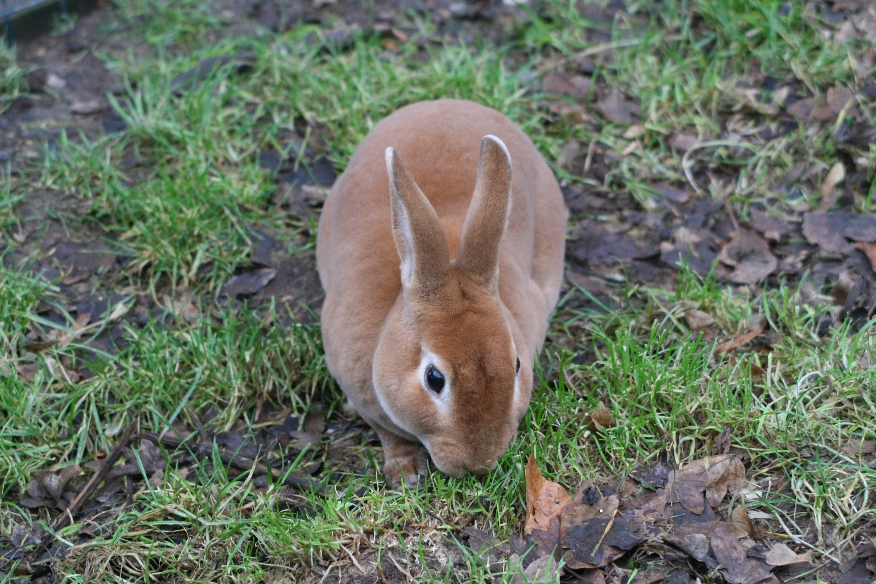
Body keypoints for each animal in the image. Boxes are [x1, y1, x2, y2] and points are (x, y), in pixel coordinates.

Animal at [316, 99, 567, 487]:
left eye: (517, 365)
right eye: (434, 379)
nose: (479, 463)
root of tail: (446, 104)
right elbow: (386, 433)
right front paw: (406, 472)